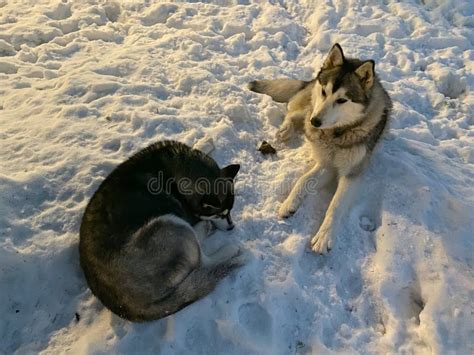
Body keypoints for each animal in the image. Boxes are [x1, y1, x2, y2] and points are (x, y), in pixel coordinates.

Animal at [80, 141, 243, 322]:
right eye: (220, 214)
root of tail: (127, 307)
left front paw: (205, 141)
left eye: (230, 210)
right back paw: (224, 245)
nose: (231, 227)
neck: (178, 167)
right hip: (169, 224)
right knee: (202, 261)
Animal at [250, 43, 390, 253]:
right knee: (294, 112)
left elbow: (335, 204)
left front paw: (324, 237)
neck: (336, 135)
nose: (315, 121)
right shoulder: (326, 162)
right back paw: (286, 130)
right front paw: (289, 203)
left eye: (342, 100)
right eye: (325, 91)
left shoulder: (350, 172)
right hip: (309, 105)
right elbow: (303, 180)